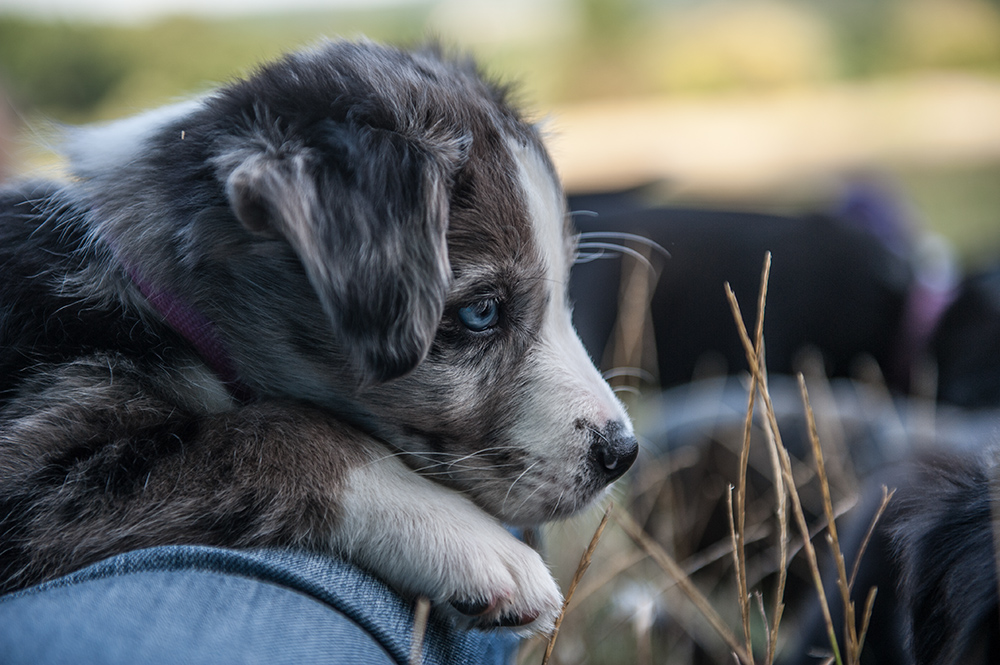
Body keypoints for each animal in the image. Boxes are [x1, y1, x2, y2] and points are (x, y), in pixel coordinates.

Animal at [0, 41, 640, 632]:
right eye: (482, 312)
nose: (623, 455)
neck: (149, 295)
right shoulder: (35, 474)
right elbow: (282, 431)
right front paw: (476, 545)